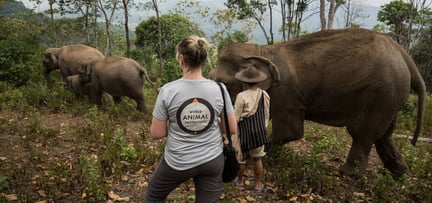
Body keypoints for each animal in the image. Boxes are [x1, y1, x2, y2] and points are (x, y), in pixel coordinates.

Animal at [209, 27, 426, 178]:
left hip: (380, 94)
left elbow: (291, 132)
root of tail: (405, 57)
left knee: (362, 133)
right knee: (383, 136)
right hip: (391, 98)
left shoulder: (286, 94)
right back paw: (397, 175)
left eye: (224, 83)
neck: (263, 51)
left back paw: (348, 174)